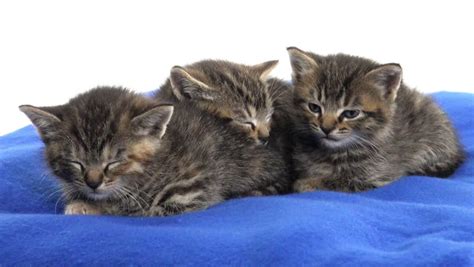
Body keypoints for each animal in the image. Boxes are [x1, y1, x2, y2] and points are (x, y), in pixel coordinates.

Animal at [20, 87, 290, 217]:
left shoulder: (189, 190)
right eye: (76, 162)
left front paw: (86, 206)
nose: (93, 183)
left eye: (114, 161)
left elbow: (133, 210)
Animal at [286, 46, 464, 193]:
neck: (332, 152)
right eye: (314, 107)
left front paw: (306, 183)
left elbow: (337, 181)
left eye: (351, 113)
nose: (326, 128)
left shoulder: (376, 175)